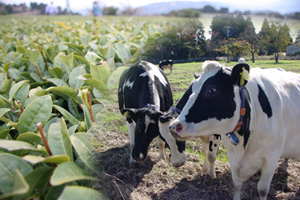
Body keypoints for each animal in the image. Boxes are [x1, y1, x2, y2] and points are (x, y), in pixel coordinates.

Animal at [170, 61, 300, 200]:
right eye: (192, 88)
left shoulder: (271, 158)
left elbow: (262, 189)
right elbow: (236, 184)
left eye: (212, 90)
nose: (174, 126)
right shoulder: (232, 155)